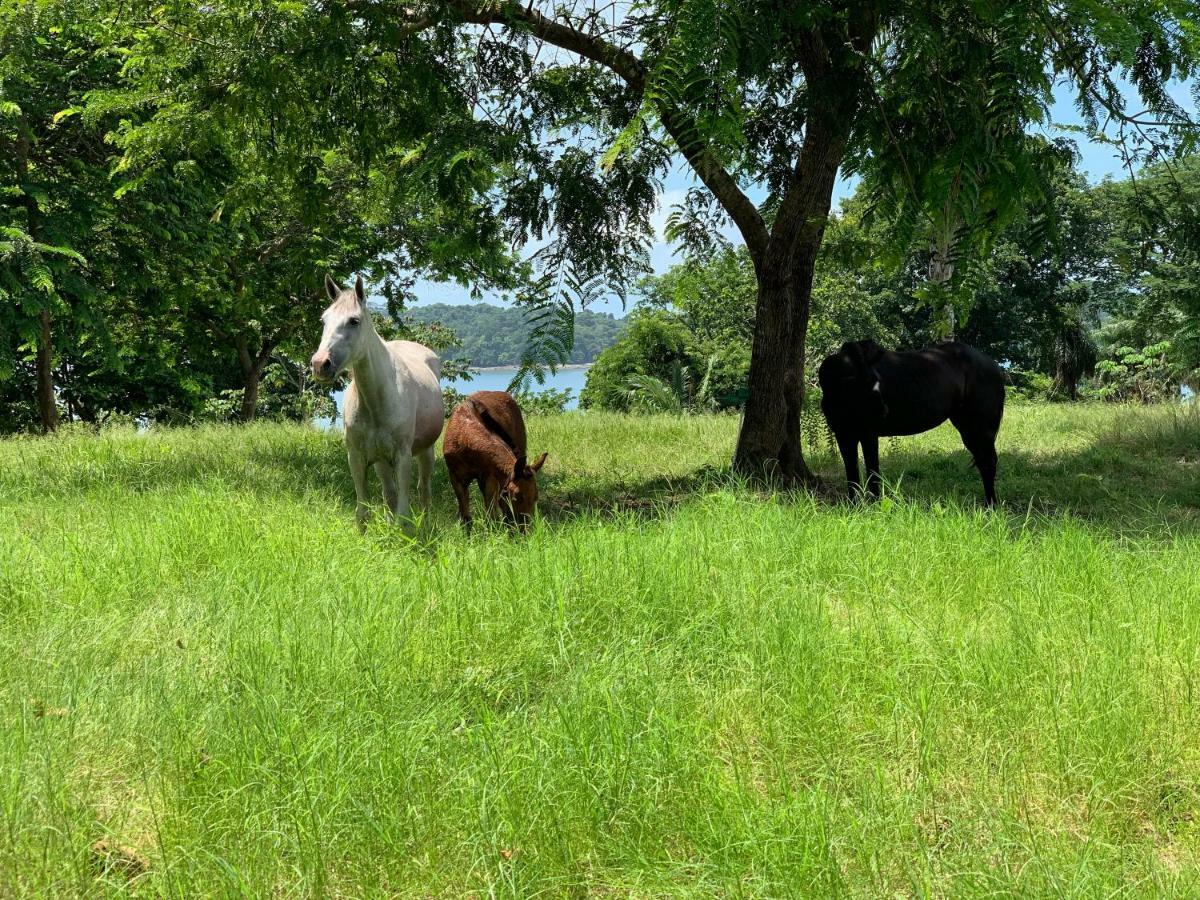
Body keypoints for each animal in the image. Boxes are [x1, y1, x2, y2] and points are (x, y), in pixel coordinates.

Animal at [309, 278, 446, 532]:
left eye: (354, 321)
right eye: (323, 320)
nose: (320, 364)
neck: (376, 401)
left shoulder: (402, 457)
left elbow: (403, 513)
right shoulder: (356, 457)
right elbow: (363, 512)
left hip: (425, 451)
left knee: (424, 489)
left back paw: (426, 524)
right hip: (381, 460)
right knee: (389, 494)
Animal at [444, 391, 549, 532]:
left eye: (536, 497)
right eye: (517, 496)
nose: (524, 530)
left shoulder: (489, 479)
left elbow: (490, 516)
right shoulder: (457, 479)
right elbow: (467, 518)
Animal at [820, 340, 1008, 508]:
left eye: (877, 380)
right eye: (860, 381)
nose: (883, 411)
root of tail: (995, 367)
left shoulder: (868, 434)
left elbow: (873, 471)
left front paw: (875, 507)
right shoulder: (844, 435)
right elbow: (851, 472)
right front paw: (854, 507)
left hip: (981, 426)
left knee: (988, 462)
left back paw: (991, 506)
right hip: (967, 426)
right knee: (984, 461)